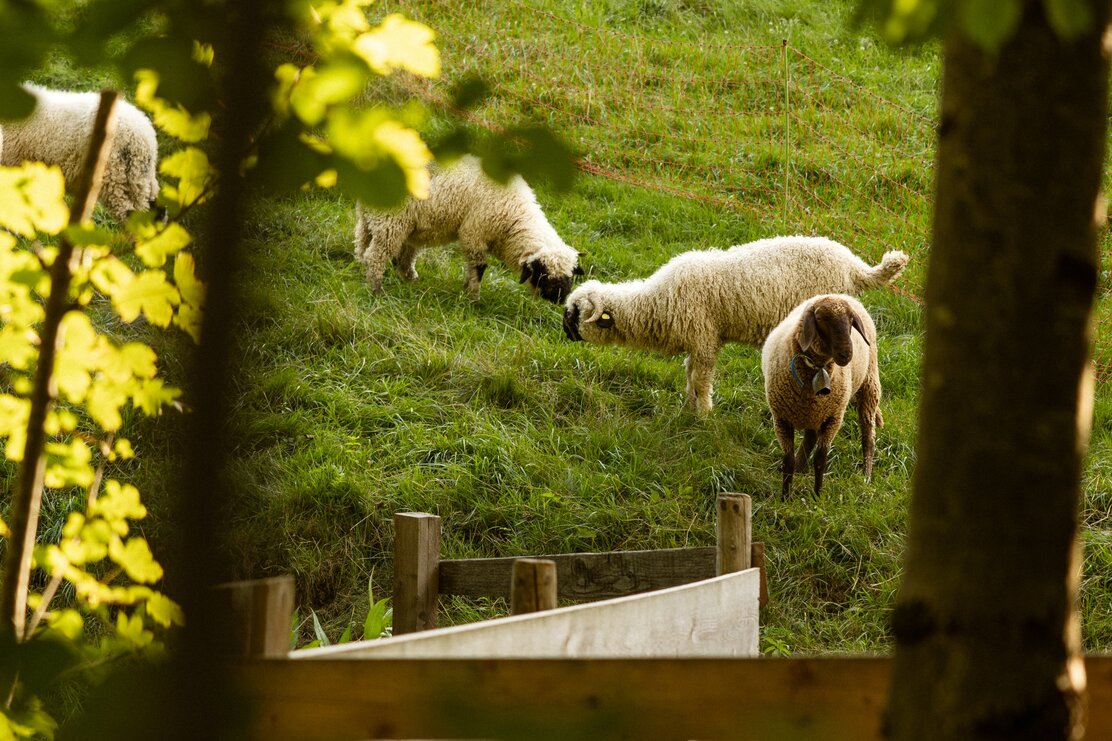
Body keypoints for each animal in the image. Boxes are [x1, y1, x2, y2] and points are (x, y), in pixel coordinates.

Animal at [353, 154, 583, 303]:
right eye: (543, 275)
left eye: (570, 276)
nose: (561, 300)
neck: (514, 216)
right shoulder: (474, 232)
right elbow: (479, 267)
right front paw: (473, 298)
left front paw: (466, 291)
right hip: (391, 223)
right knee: (375, 257)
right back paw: (377, 291)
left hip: (379, 222)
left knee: (369, 249)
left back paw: (405, 281)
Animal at [562, 235, 908, 414]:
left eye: (574, 313)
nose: (564, 335)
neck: (657, 301)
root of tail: (855, 268)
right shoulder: (698, 343)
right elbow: (690, 375)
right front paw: (690, 407)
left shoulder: (704, 339)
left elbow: (701, 379)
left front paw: (702, 415)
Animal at [761, 293, 881, 496]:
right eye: (821, 319)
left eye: (851, 320)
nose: (846, 354)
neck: (817, 368)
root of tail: (844, 295)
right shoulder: (781, 419)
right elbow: (788, 459)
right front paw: (785, 496)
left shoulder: (833, 419)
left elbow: (820, 459)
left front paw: (817, 496)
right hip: (815, 413)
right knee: (810, 438)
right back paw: (800, 466)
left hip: (869, 385)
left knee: (868, 435)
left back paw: (866, 474)